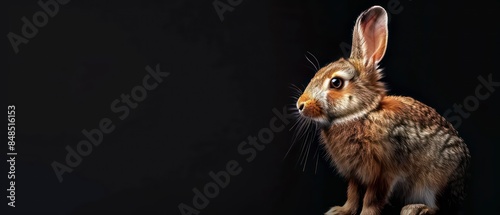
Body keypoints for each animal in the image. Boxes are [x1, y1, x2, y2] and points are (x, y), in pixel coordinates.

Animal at [296, 5, 472, 215]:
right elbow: (353, 194)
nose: (300, 105)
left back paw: (416, 209)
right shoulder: (355, 174)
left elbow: (372, 198)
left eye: (336, 83)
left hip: (436, 181)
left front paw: (366, 214)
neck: (362, 113)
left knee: (439, 207)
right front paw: (340, 211)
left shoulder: (384, 173)